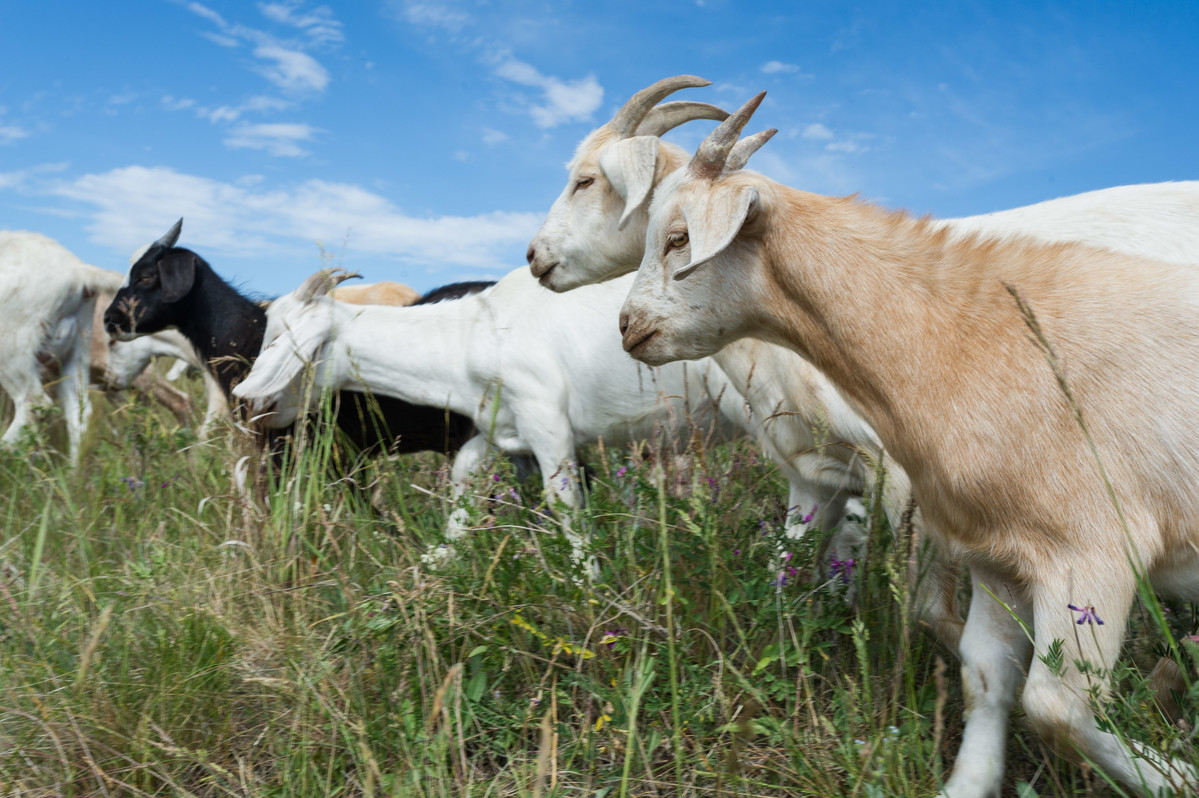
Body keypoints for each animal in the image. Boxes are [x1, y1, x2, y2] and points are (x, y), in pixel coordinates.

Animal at [0, 231, 126, 464]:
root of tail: (79, 271)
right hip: (74, 349)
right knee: (79, 415)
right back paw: (72, 473)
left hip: (12, 346)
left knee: (34, 404)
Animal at [230, 265, 747, 564]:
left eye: (275, 339)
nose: (248, 405)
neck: (471, 335)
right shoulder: (499, 429)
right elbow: (463, 484)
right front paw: (438, 560)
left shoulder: (546, 423)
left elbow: (567, 508)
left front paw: (591, 594)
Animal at [620, 92, 1199, 798]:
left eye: (679, 238)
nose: (626, 326)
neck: (960, 335)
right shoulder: (999, 556)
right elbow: (987, 678)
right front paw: (969, 782)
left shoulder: (1093, 552)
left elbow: (1056, 708)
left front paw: (1172, 776)